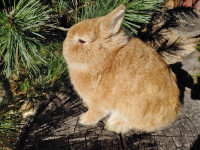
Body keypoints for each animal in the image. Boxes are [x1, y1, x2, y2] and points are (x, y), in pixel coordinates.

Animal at [63, 4, 181, 134]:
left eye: (82, 41)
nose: (64, 48)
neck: (104, 58)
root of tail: (173, 113)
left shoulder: (97, 103)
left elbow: (95, 113)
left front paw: (83, 119)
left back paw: (114, 124)